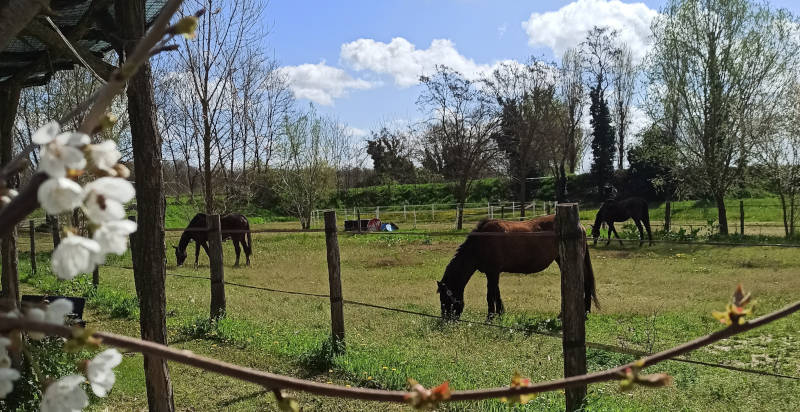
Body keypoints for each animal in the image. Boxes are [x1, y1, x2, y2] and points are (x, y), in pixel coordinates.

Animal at [436, 215, 599, 320]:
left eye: (445, 299)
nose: (446, 319)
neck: (480, 242)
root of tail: (580, 226)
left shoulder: (492, 272)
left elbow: (490, 295)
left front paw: (490, 317)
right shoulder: (493, 273)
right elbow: (497, 293)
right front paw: (500, 313)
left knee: (585, 283)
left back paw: (584, 313)